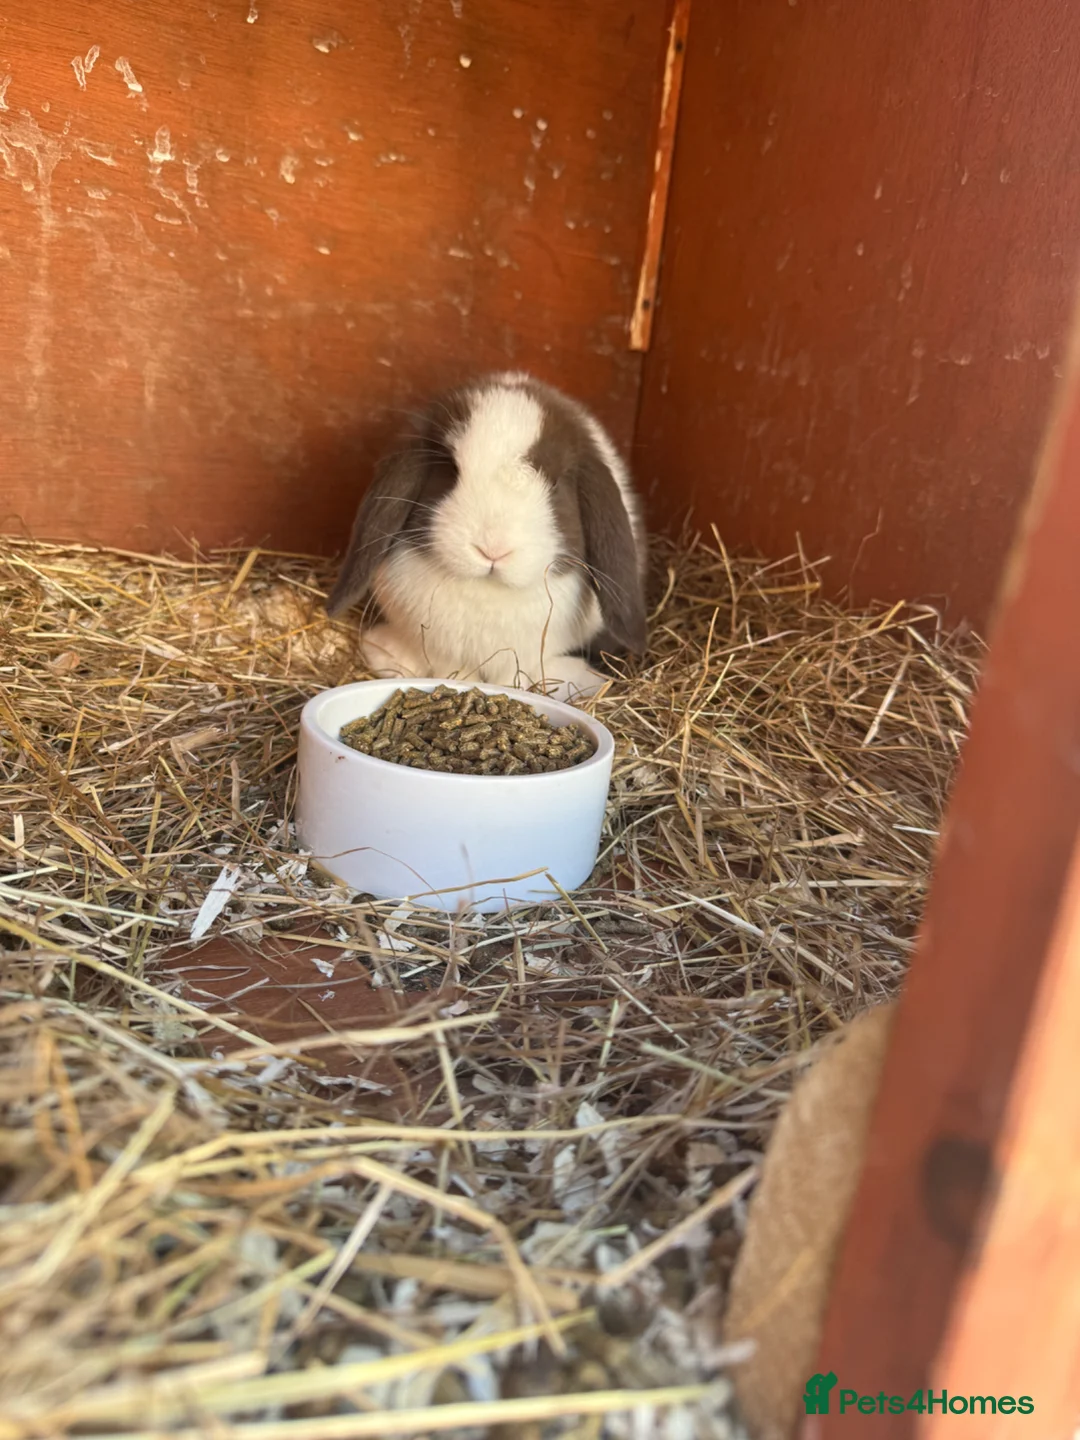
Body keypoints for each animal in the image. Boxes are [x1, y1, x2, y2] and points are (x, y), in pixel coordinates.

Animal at [325, 371, 648, 701]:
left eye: (556, 483)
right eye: (450, 469)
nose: (492, 549)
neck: (488, 592)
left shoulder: (525, 655)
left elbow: (516, 678)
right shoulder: (441, 651)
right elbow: (452, 672)